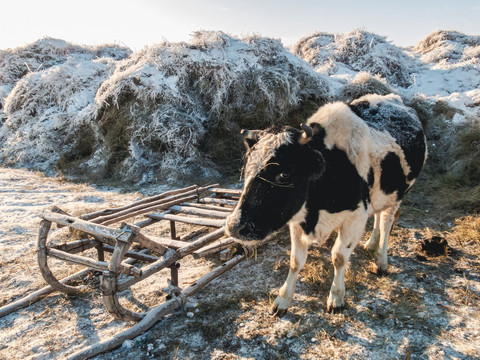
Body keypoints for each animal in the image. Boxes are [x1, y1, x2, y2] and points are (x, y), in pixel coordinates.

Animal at [225, 93, 428, 316]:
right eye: (246, 169)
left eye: (284, 175)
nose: (234, 226)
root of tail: (391, 97)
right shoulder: (297, 219)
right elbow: (295, 260)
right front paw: (283, 300)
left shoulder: (355, 217)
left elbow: (339, 257)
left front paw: (336, 298)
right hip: (380, 195)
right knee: (377, 217)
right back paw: (371, 244)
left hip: (397, 196)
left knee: (386, 222)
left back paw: (381, 262)